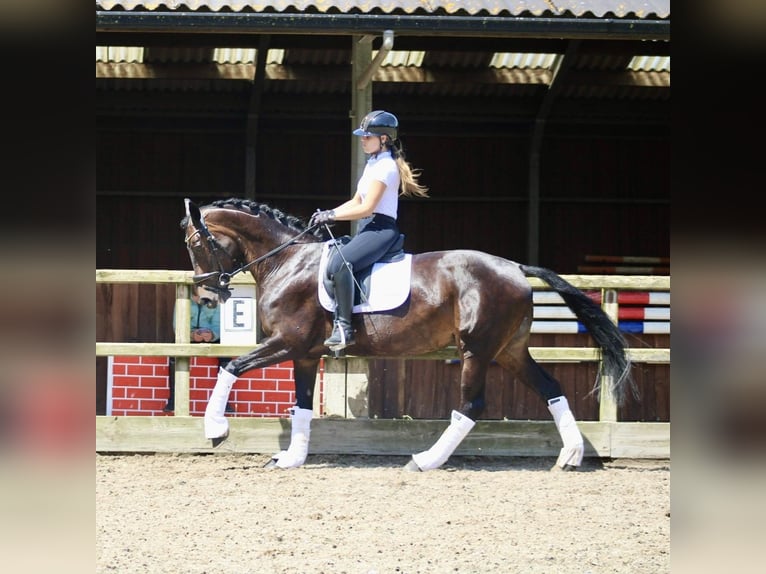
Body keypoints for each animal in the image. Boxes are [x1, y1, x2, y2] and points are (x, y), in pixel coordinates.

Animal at [182, 198, 636, 472]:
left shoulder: (288, 342)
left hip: (476, 349)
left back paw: (426, 459)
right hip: (509, 349)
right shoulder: (306, 353)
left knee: (472, 404)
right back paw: (571, 454)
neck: (288, 261)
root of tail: (515, 268)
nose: (207, 295)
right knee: (550, 387)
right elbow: (303, 405)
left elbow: (231, 367)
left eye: (196, 244)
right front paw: (291, 458)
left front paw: (216, 431)